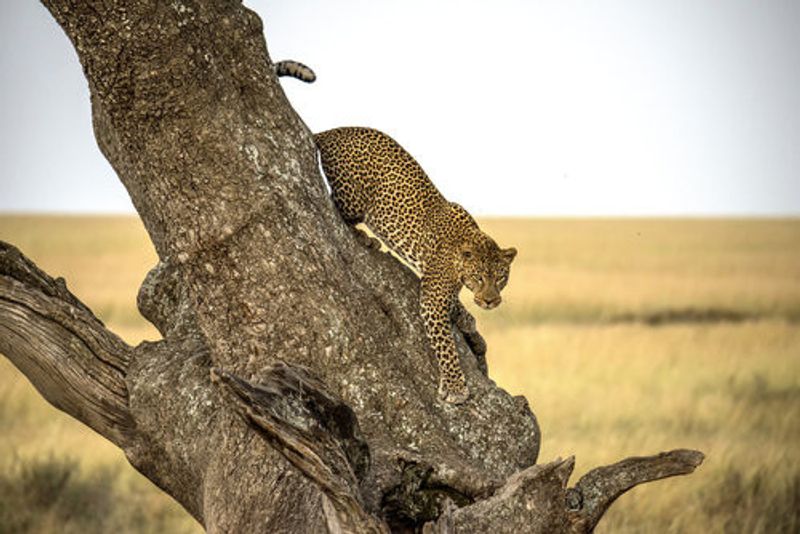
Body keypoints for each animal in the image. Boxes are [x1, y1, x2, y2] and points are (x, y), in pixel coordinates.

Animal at [275, 62, 517, 404]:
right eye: (481, 277)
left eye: (501, 278)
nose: (491, 301)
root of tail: (332, 132)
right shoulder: (431, 297)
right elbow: (446, 346)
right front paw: (455, 387)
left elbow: (456, 306)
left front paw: (467, 319)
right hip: (354, 197)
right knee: (335, 207)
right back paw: (365, 238)